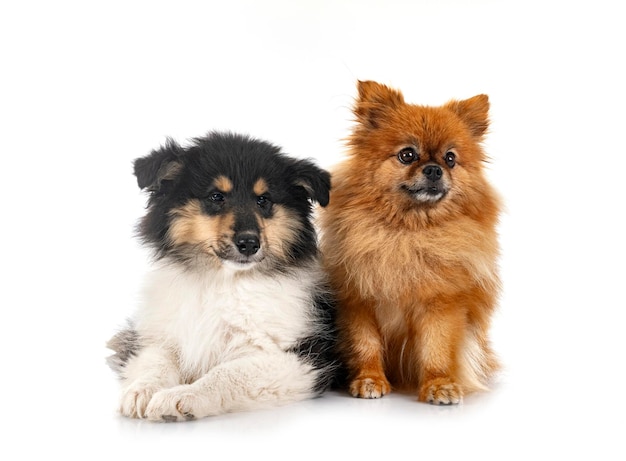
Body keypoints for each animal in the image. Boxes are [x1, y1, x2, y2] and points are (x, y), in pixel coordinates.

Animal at [106, 130, 336, 420]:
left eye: (264, 200)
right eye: (216, 197)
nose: (249, 243)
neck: (223, 281)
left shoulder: (300, 358)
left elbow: (227, 374)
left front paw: (181, 396)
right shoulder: (164, 336)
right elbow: (155, 359)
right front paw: (141, 390)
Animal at [320, 81, 500, 404]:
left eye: (450, 158)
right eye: (407, 155)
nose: (434, 169)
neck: (407, 233)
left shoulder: (440, 304)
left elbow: (436, 348)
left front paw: (439, 384)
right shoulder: (357, 301)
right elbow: (365, 345)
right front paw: (369, 379)